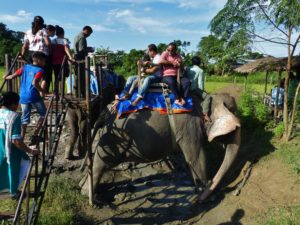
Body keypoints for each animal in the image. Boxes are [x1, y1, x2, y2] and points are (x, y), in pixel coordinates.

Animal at [80, 93, 241, 202]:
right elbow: (196, 158)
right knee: (102, 162)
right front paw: (206, 196)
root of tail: (107, 110)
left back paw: (83, 187)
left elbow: (189, 159)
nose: (198, 200)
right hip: (115, 137)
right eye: (234, 111)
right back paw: (90, 195)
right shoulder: (190, 128)